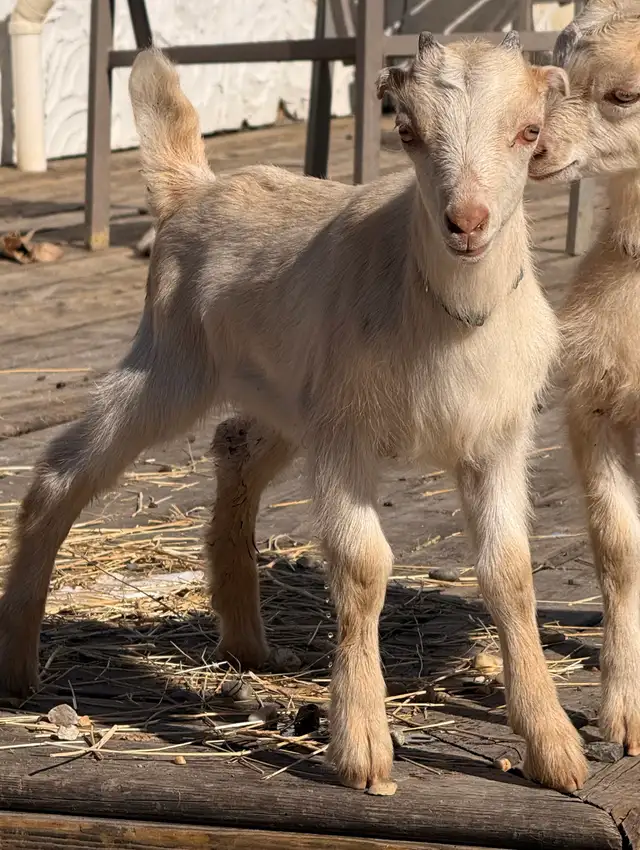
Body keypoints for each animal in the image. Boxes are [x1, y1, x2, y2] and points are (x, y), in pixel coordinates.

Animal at [0, 39, 583, 793]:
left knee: (233, 445)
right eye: (407, 132)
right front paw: (363, 746)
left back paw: (248, 643)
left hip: (280, 393)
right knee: (61, 473)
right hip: (171, 363)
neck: (445, 311)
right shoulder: (345, 435)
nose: (467, 223)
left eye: (529, 132)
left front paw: (554, 745)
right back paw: (17, 663)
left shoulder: (496, 439)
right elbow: (364, 567)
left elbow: (509, 573)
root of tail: (193, 189)